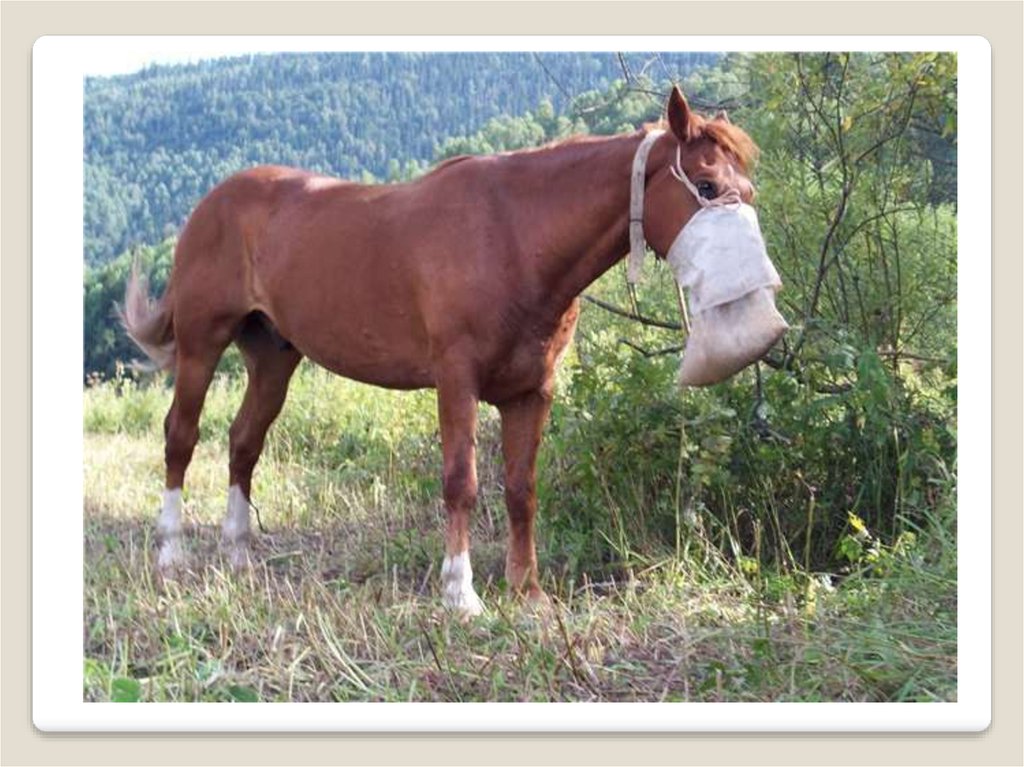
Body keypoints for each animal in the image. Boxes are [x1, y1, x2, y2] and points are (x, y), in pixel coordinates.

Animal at [121, 88, 761, 614]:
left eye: (748, 190)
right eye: (706, 186)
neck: (514, 236)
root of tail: (214, 202)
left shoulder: (532, 392)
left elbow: (521, 490)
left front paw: (527, 592)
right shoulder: (457, 380)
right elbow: (462, 482)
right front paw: (461, 593)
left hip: (274, 358)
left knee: (243, 442)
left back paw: (237, 555)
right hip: (202, 346)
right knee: (181, 437)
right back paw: (170, 555)